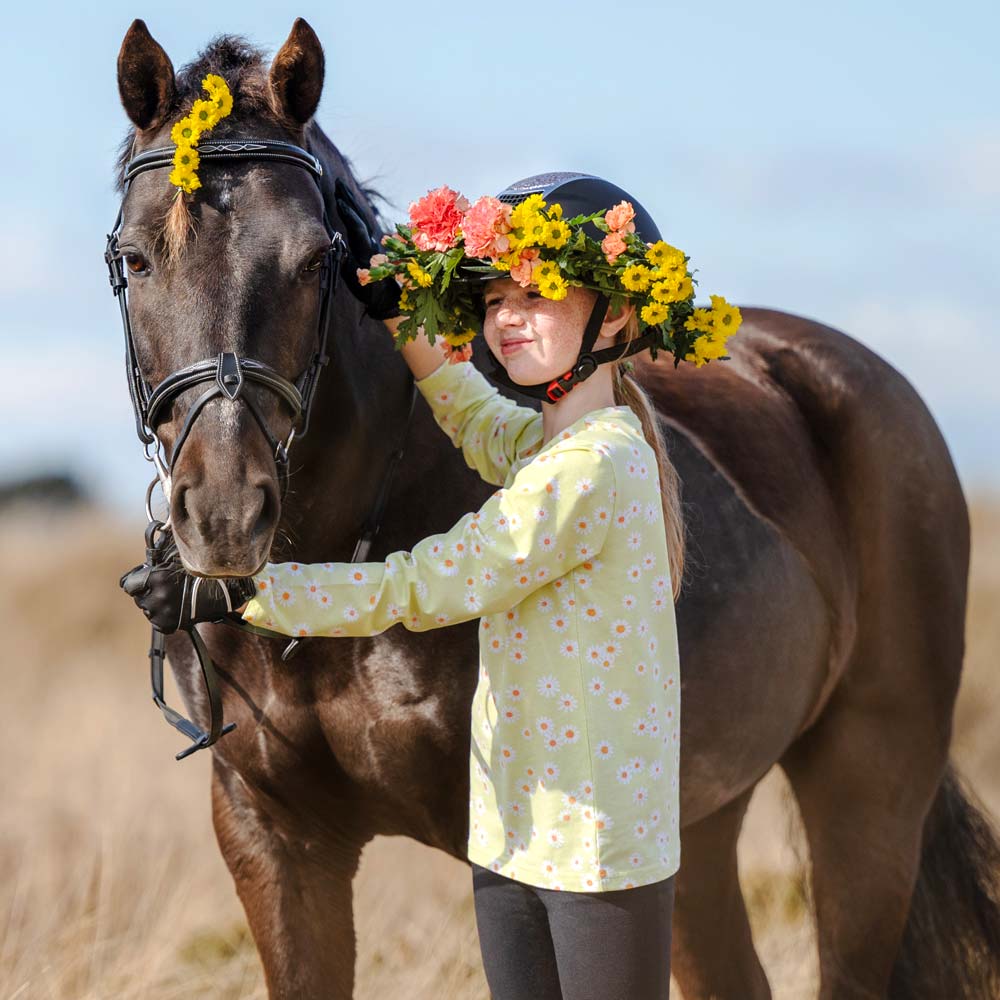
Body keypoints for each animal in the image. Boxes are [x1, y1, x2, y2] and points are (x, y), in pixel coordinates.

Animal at [113, 17, 996, 1000]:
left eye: (313, 260)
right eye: (135, 256)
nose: (225, 515)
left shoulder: (500, 849)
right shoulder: (275, 842)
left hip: (868, 789)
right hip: (696, 826)